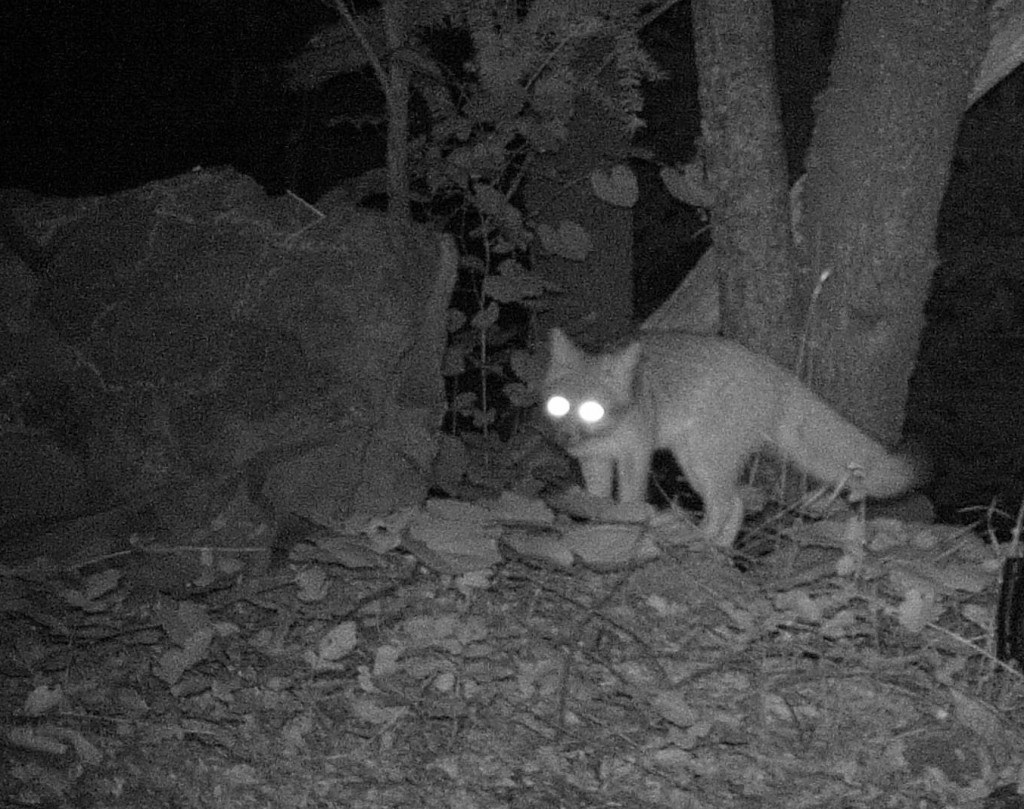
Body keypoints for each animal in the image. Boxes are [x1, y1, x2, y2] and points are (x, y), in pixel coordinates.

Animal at [544, 329, 921, 552]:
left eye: (592, 410)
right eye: (559, 405)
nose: (564, 437)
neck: (606, 431)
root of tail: (770, 369)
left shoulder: (634, 455)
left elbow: (628, 500)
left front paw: (625, 527)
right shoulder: (593, 459)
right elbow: (598, 500)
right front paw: (598, 526)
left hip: (702, 460)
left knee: (724, 505)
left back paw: (697, 538)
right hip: (695, 462)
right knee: (736, 503)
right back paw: (720, 548)